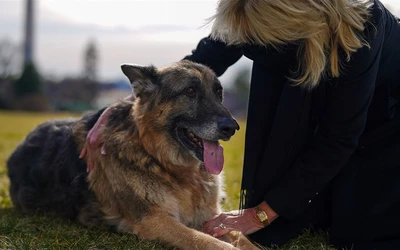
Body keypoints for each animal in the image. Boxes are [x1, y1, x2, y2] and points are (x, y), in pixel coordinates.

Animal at [7, 60, 260, 250]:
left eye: (218, 92)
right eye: (190, 91)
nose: (232, 127)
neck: (161, 160)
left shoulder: (212, 217)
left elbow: (241, 238)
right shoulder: (154, 220)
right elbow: (208, 242)